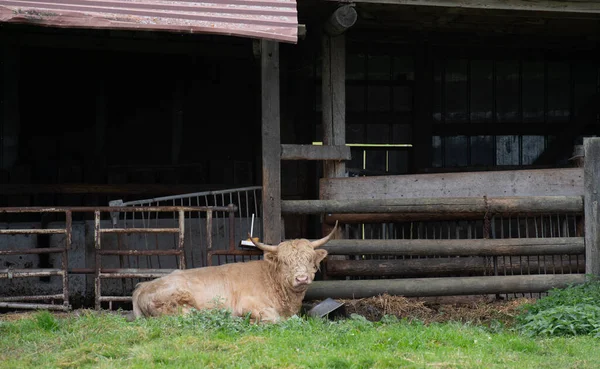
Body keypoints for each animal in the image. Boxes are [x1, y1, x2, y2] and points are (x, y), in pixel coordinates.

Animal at [132, 221, 338, 322]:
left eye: (309, 259)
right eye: (285, 262)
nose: (301, 278)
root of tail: (142, 287)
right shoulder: (250, 305)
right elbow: (277, 318)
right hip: (177, 302)